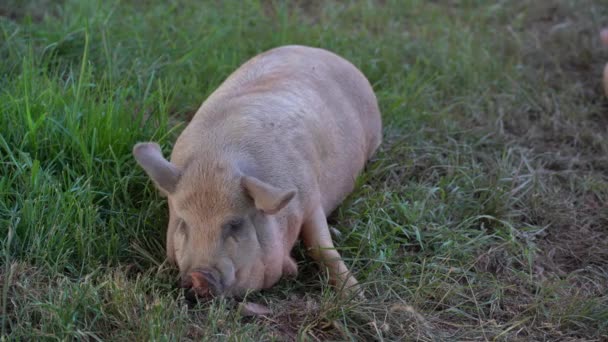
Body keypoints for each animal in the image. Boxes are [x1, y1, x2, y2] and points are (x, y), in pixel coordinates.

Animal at [133, 44, 380, 298]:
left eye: (235, 224)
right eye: (183, 223)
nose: (197, 277)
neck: (215, 159)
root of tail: (325, 52)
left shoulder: (311, 197)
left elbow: (321, 248)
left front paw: (356, 295)